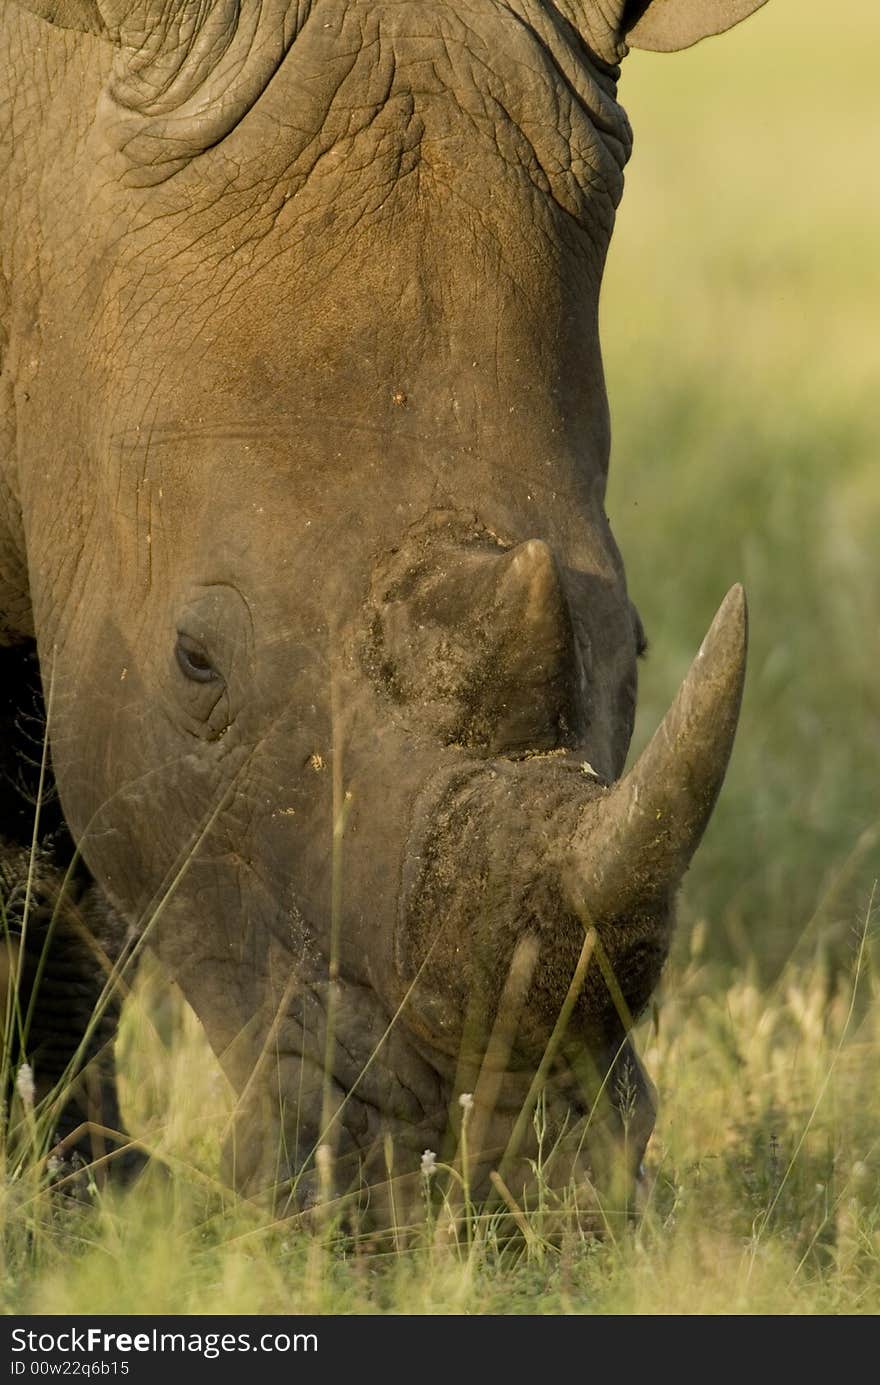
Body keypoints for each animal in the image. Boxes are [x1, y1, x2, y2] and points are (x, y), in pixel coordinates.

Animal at [0, 0, 764, 1213]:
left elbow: (59, 836)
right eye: (194, 661)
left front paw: (91, 1184)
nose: (485, 1178)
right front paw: (82, 1198)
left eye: (639, 644)